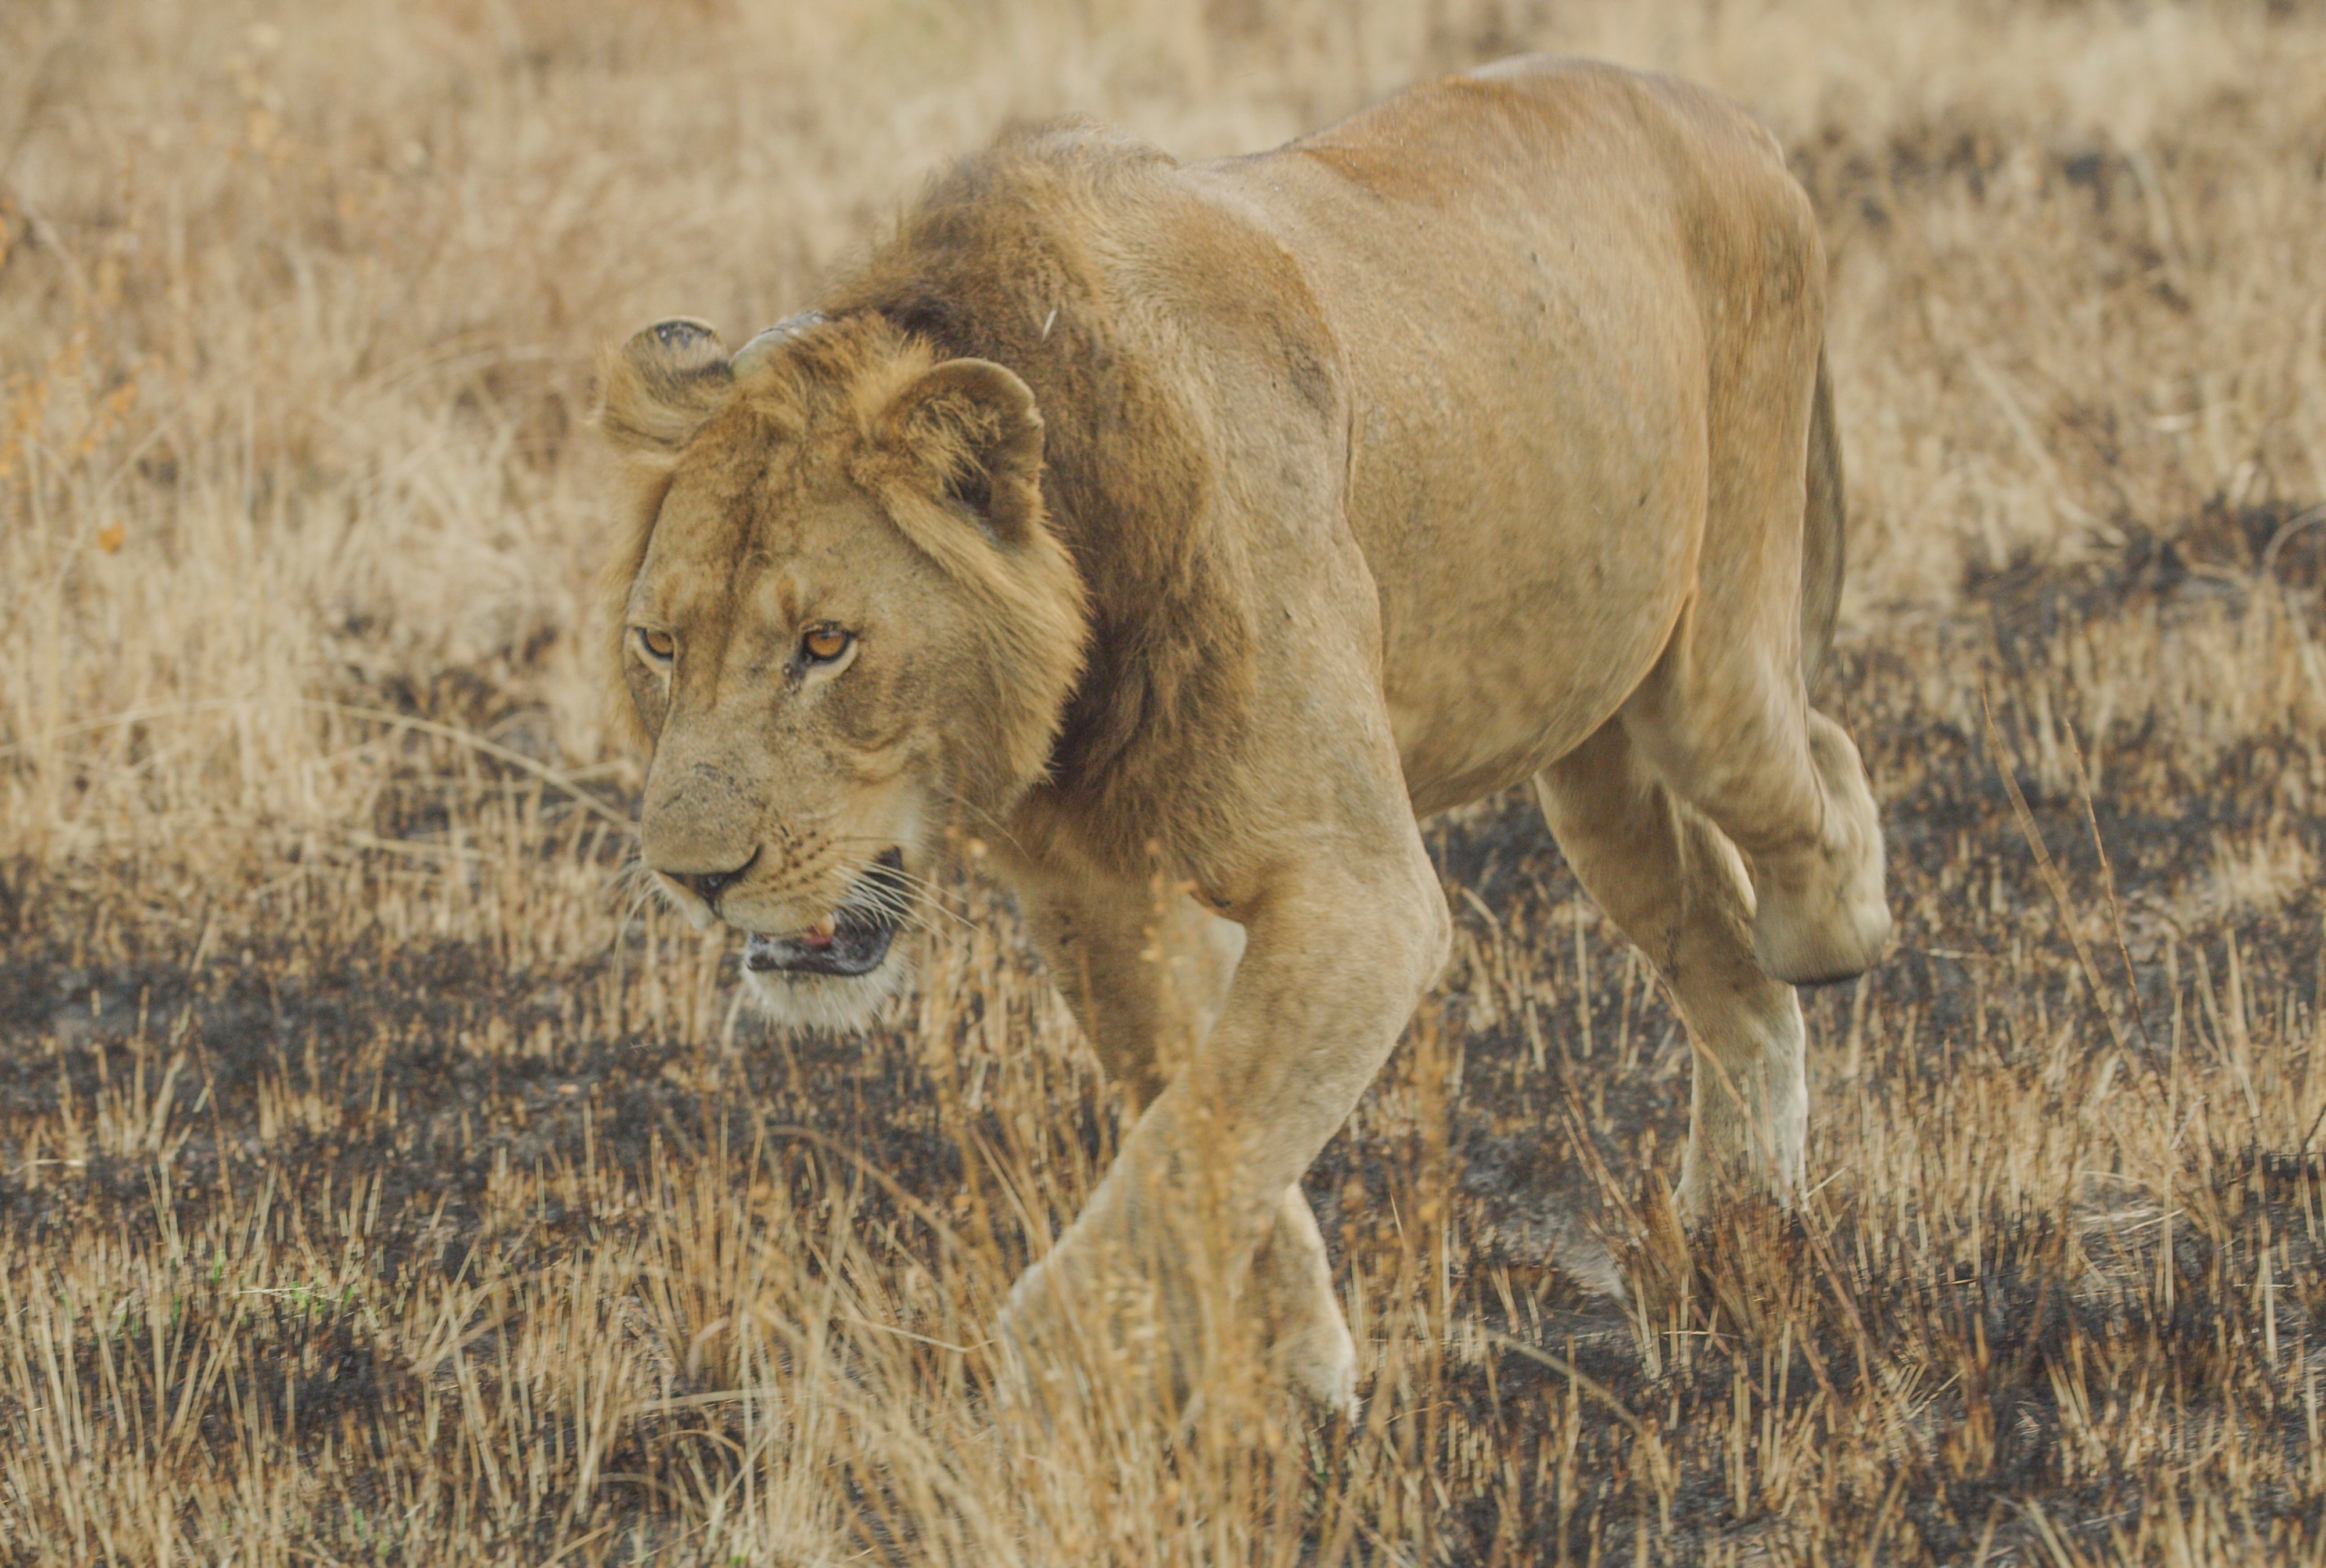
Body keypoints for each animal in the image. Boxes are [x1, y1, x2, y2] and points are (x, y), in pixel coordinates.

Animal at [600, 58, 1889, 1405]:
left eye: (825, 645)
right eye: (660, 647)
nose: (693, 879)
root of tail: (1716, 107)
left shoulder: (1359, 894)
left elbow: (1196, 1148)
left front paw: (1050, 1372)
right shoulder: (1100, 901)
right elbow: (1207, 1128)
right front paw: (1301, 1370)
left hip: (1710, 668)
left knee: (1807, 776)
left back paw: (1835, 943)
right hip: (1588, 759)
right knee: (1729, 972)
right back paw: (1741, 1230)